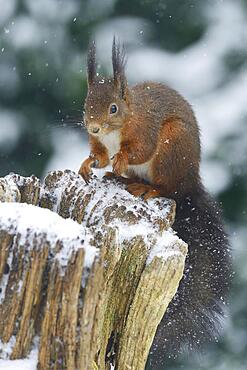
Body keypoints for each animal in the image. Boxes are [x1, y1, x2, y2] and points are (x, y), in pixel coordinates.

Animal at [78, 39, 231, 366]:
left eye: (113, 108)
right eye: (86, 105)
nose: (93, 127)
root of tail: (189, 183)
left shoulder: (145, 130)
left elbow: (139, 150)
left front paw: (121, 159)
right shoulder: (100, 145)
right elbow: (98, 157)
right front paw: (89, 164)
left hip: (171, 148)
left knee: (164, 188)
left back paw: (141, 185)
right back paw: (119, 178)